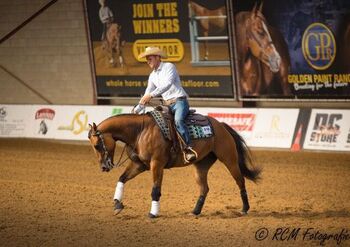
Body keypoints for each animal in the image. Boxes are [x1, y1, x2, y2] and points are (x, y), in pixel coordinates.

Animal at [89, 112, 262, 218]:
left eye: (97, 145)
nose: (104, 167)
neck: (140, 132)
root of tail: (220, 125)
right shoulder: (139, 165)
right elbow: (122, 179)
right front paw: (117, 205)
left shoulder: (157, 164)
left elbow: (155, 190)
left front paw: (153, 213)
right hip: (201, 166)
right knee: (204, 188)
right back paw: (195, 211)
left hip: (229, 159)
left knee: (240, 181)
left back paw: (244, 209)